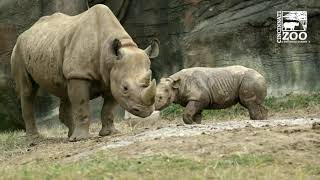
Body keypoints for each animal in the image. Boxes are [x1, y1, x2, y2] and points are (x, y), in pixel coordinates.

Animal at [10, 4, 159, 141]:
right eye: (125, 88)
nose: (146, 111)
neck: (109, 55)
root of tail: (26, 31)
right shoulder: (79, 74)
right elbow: (81, 106)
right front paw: (81, 138)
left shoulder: (112, 76)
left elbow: (108, 108)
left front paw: (109, 133)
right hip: (18, 50)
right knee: (27, 91)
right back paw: (35, 139)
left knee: (64, 90)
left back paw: (70, 136)